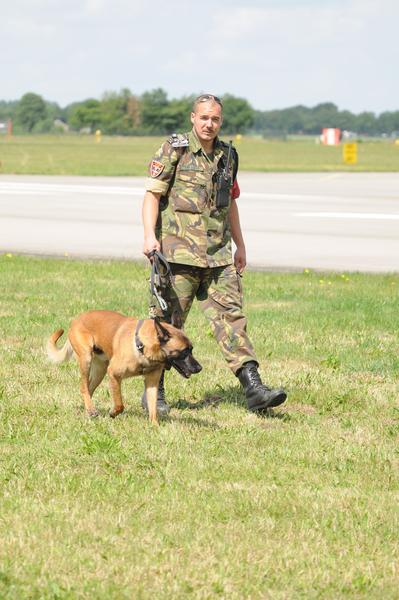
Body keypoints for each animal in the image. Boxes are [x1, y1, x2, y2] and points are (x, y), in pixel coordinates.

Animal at [46, 312, 202, 424]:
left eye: (192, 349)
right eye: (184, 351)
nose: (199, 368)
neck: (141, 346)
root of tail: (75, 320)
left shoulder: (152, 383)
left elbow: (153, 409)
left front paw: (155, 426)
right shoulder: (114, 375)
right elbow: (120, 404)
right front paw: (113, 413)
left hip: (100, 371)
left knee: (88, 389)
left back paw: (89, 410)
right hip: (86, 359)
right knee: (83, 387)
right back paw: (91, 410)